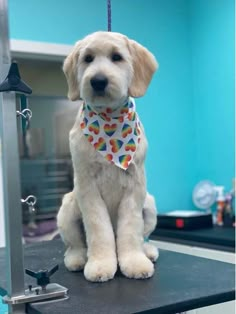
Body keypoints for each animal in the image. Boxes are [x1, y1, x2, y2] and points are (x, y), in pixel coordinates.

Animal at [57, 31, 159, 282]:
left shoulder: (135, 187)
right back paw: (77, 259)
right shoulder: (87, 187)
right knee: (75, 245)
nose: (98, 80)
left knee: (143, 236)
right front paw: (101, 264)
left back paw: (147, 251)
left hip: (150, 206)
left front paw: (134, 262)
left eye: (116, 57)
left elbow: (131, 230)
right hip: (68, 209)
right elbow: (98, 229)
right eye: (88, 59)